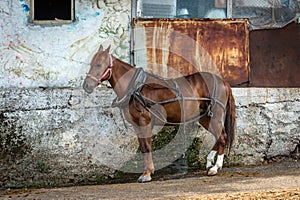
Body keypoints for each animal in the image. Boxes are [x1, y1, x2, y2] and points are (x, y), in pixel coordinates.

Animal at [82, 45, 237, 183]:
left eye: (99, 64)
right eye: (91, 64)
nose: (86, 85)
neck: (135, 88)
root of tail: (223, 82)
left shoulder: (144, 121)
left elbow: (147, 146)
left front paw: (147, 174)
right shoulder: (136, 124)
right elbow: (143, 147)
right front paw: (147, 171)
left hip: (215, 116)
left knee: (222, 137)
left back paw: (216, 167)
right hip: (205, 117)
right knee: (218, 137)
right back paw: (209, 162)